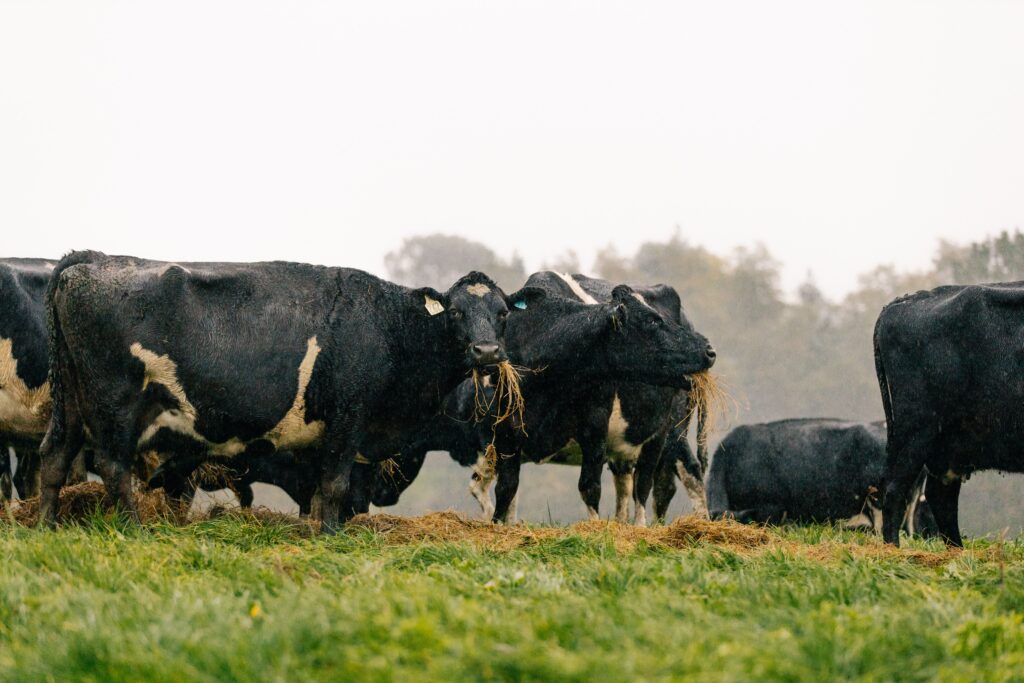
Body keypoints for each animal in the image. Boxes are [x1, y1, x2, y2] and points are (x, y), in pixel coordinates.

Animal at [39, 252, 512, 532]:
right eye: (455, 312)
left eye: (503, 313)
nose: (487, 351)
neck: (390, 326)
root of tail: (93, 261)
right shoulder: (347, 419)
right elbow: (336, 486)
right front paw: (332, 537)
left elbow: (320, 492)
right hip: (114, 404)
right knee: (113, 467)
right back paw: (134, 530)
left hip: (72, 403)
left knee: (54, 455)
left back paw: (45, 526)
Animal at [876, 284, 1024, 548]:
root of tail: (905, 300)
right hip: (916, 430)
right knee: (894, 489)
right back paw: (894, 549)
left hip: (948, 444)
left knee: (940, 495)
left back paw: (957, 550)